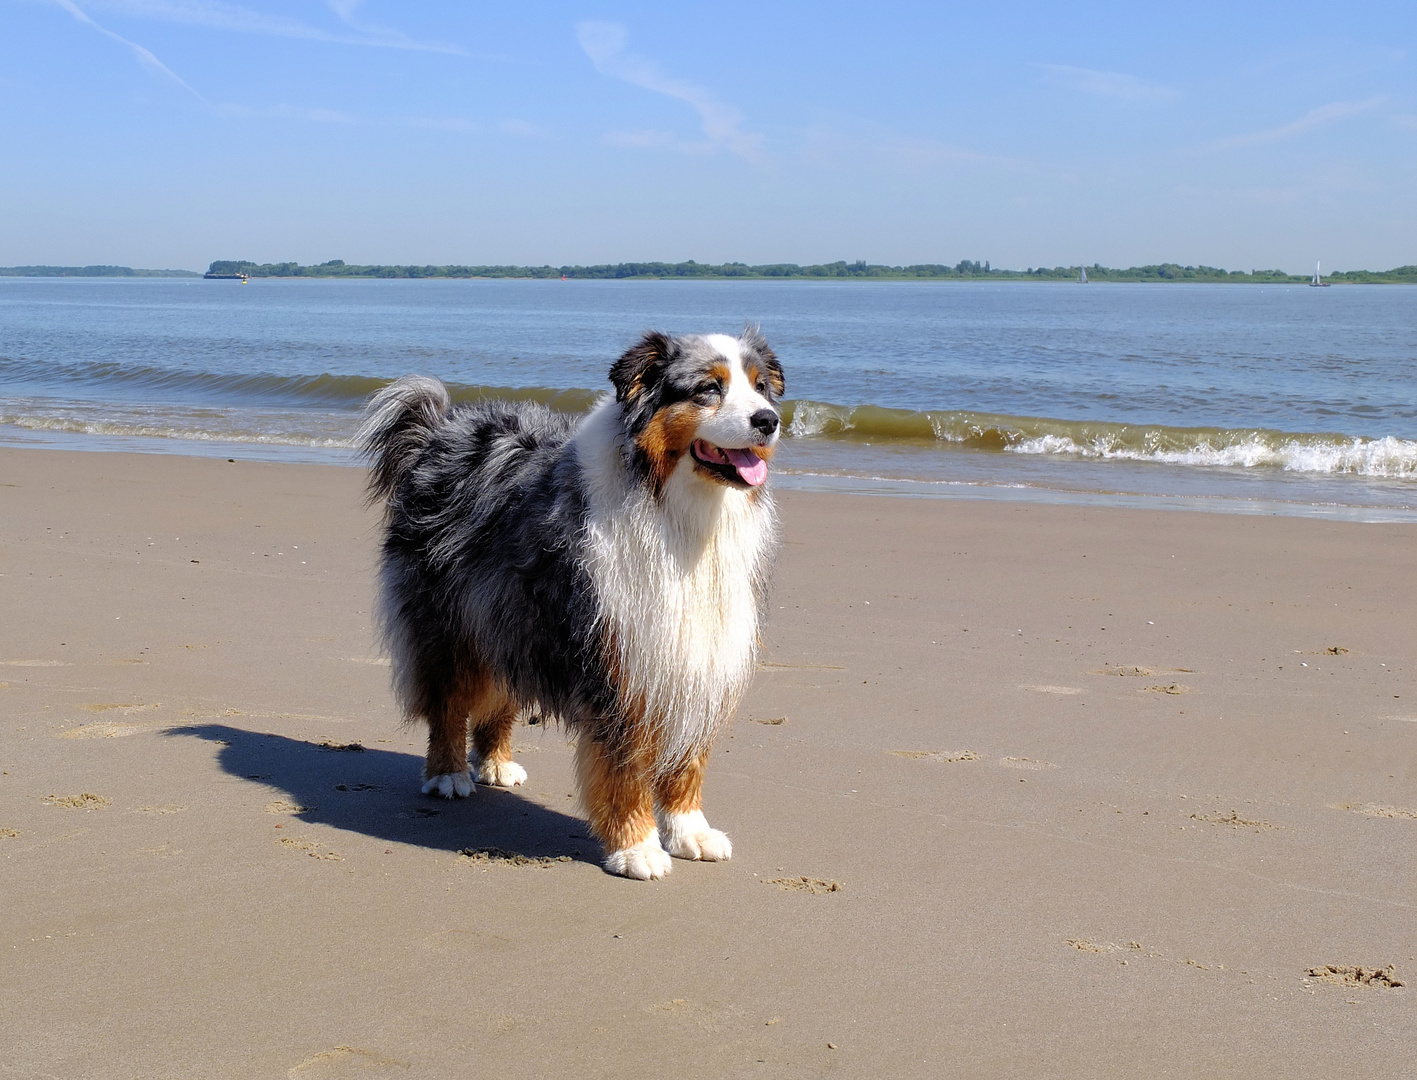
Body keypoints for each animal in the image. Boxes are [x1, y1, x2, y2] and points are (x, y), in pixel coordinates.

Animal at [349, 325, 782, 873]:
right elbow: (624, 764)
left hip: (510, 618)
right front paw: (636, 847)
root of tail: (440, 428)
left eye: (762, 387)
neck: (677, 508)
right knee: (447, 701)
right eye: (709, 388)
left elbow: (688, 758)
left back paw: (496, 764)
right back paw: (448, 773)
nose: (769, 421)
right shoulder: (621, 657)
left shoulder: (695, 649)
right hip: (449, 623)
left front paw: (689, 832)